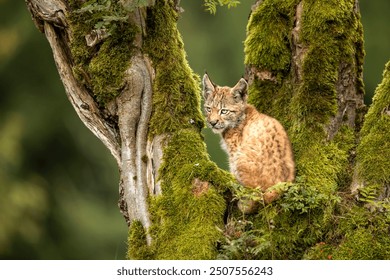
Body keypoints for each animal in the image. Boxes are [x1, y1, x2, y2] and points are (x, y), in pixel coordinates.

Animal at [203, 73, 294, 213]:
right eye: (208, 109)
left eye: (224, 111)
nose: (212, 123)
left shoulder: (234, 151)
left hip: (241, 158)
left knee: (257, 196)